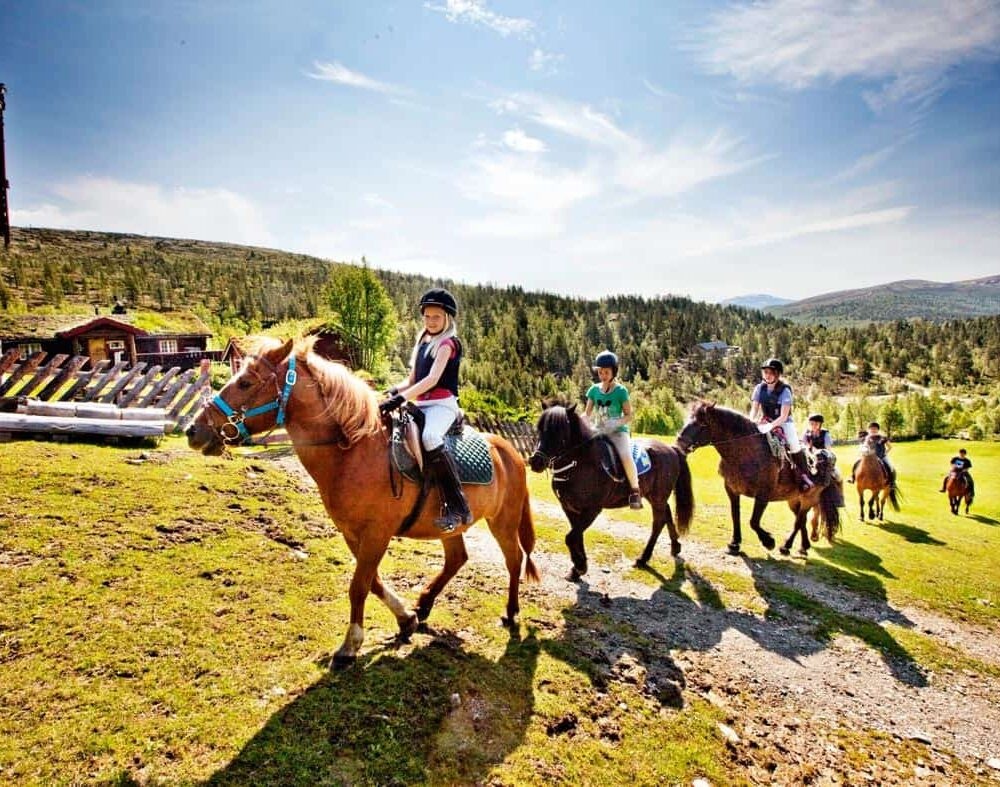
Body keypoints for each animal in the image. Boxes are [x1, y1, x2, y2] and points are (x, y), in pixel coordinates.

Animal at [187, 336, 540, 668]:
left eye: (246, 382)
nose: (193, 430)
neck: (353, 451)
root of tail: (509, 452)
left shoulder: (376, 534)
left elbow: (359, 585)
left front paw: (350, 645)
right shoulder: (352, 533)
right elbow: (372, 581)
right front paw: (405, 619)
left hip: (503, 522)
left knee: (514, 560)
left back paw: (510, 612)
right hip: (450, 525)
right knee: (457, 558)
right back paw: (424, 604)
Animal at [528, 406, 692, 580]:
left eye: (559, 432)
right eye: (539, 429)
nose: (536, 461)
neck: (579, 463)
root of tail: (671, 449)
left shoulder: (592, 510)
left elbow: (571, 537)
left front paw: (579, 567)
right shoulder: (569, 508)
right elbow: (576, 536)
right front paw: (579, 567)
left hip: (658, 498)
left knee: (658, 523)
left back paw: (643, 559)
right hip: (657, 497)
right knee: (667, 514)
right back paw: (675, 547)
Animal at [676, 400, 840, 560]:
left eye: (702, 423)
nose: (680, 443)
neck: (747, 454)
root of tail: (824, 459)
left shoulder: (763, 495)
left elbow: (753, 521)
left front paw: (769, 541)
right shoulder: (732, 490)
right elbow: (735, 515)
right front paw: (735, 543)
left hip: (808, 498)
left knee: (799, 520)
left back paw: (786, 546)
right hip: (793, 499)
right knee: (802, 520)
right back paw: (803, 547)